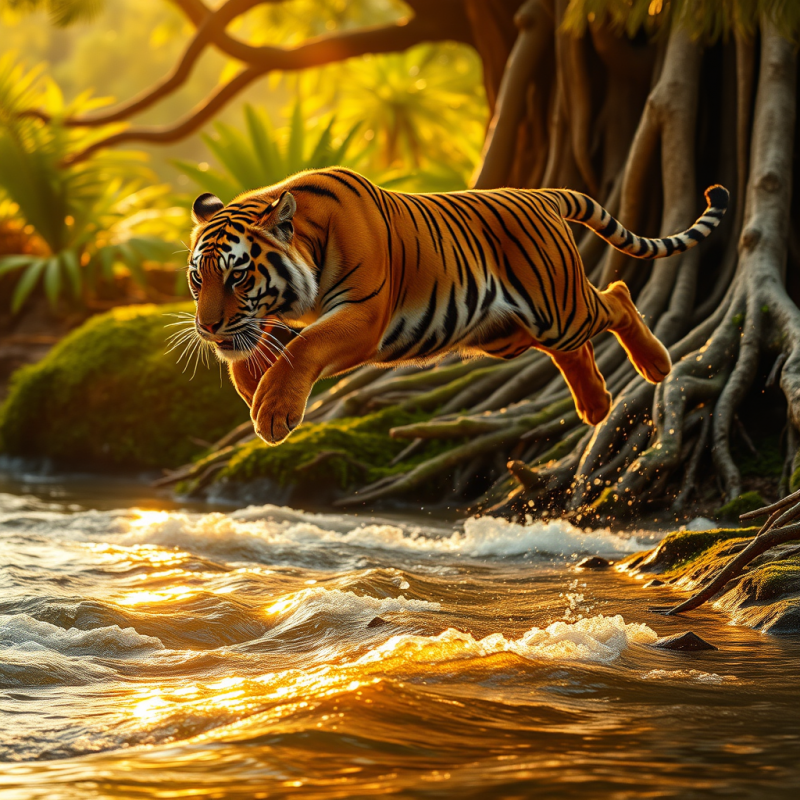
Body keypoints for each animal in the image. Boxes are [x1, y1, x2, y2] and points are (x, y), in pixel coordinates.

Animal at [187, 167, 728, 445]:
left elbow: (304, 347)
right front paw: (253, 385)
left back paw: (657, 365)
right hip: (506, 333)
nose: (207, 328)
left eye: (237, 275)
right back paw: (595, 407)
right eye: (198, 279)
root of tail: (542, 194)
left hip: (561, 308)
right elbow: (258, 347)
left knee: (615, 297)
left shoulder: (363, 315)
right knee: (574, 349)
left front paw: (273, 411)